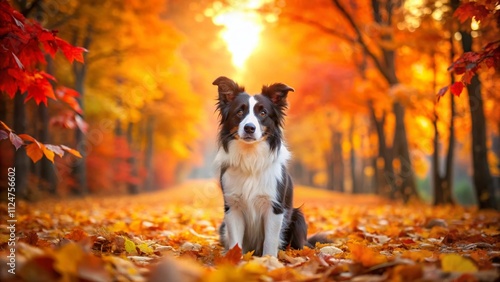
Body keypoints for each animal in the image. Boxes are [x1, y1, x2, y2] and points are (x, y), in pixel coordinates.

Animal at [213, 76, 314, 256]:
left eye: (263, 113)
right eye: (239, 112)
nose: (249, 128)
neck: (250, 157)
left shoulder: (274, 207)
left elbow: (270, 240)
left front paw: (268, 260)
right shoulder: (232, 206)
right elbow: (235, 241)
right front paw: (233, 259)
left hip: (298, 217)